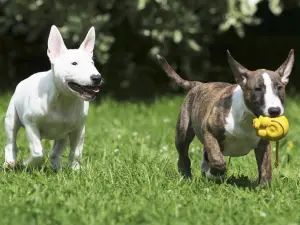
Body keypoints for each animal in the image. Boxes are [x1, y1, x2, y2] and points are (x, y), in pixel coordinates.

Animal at [3, 25, 103, 171]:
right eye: (74, 63)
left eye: (92, 63)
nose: (97, 78)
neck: (63, 100)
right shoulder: (31, 124)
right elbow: (38, 151)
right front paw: (28, 163)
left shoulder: (79, 129)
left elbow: (76, 152)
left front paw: (76, 169)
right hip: (11, 118)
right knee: (11, 142)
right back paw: (10, 162)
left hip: (63, 135)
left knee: (56, 151)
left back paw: (57, 168)